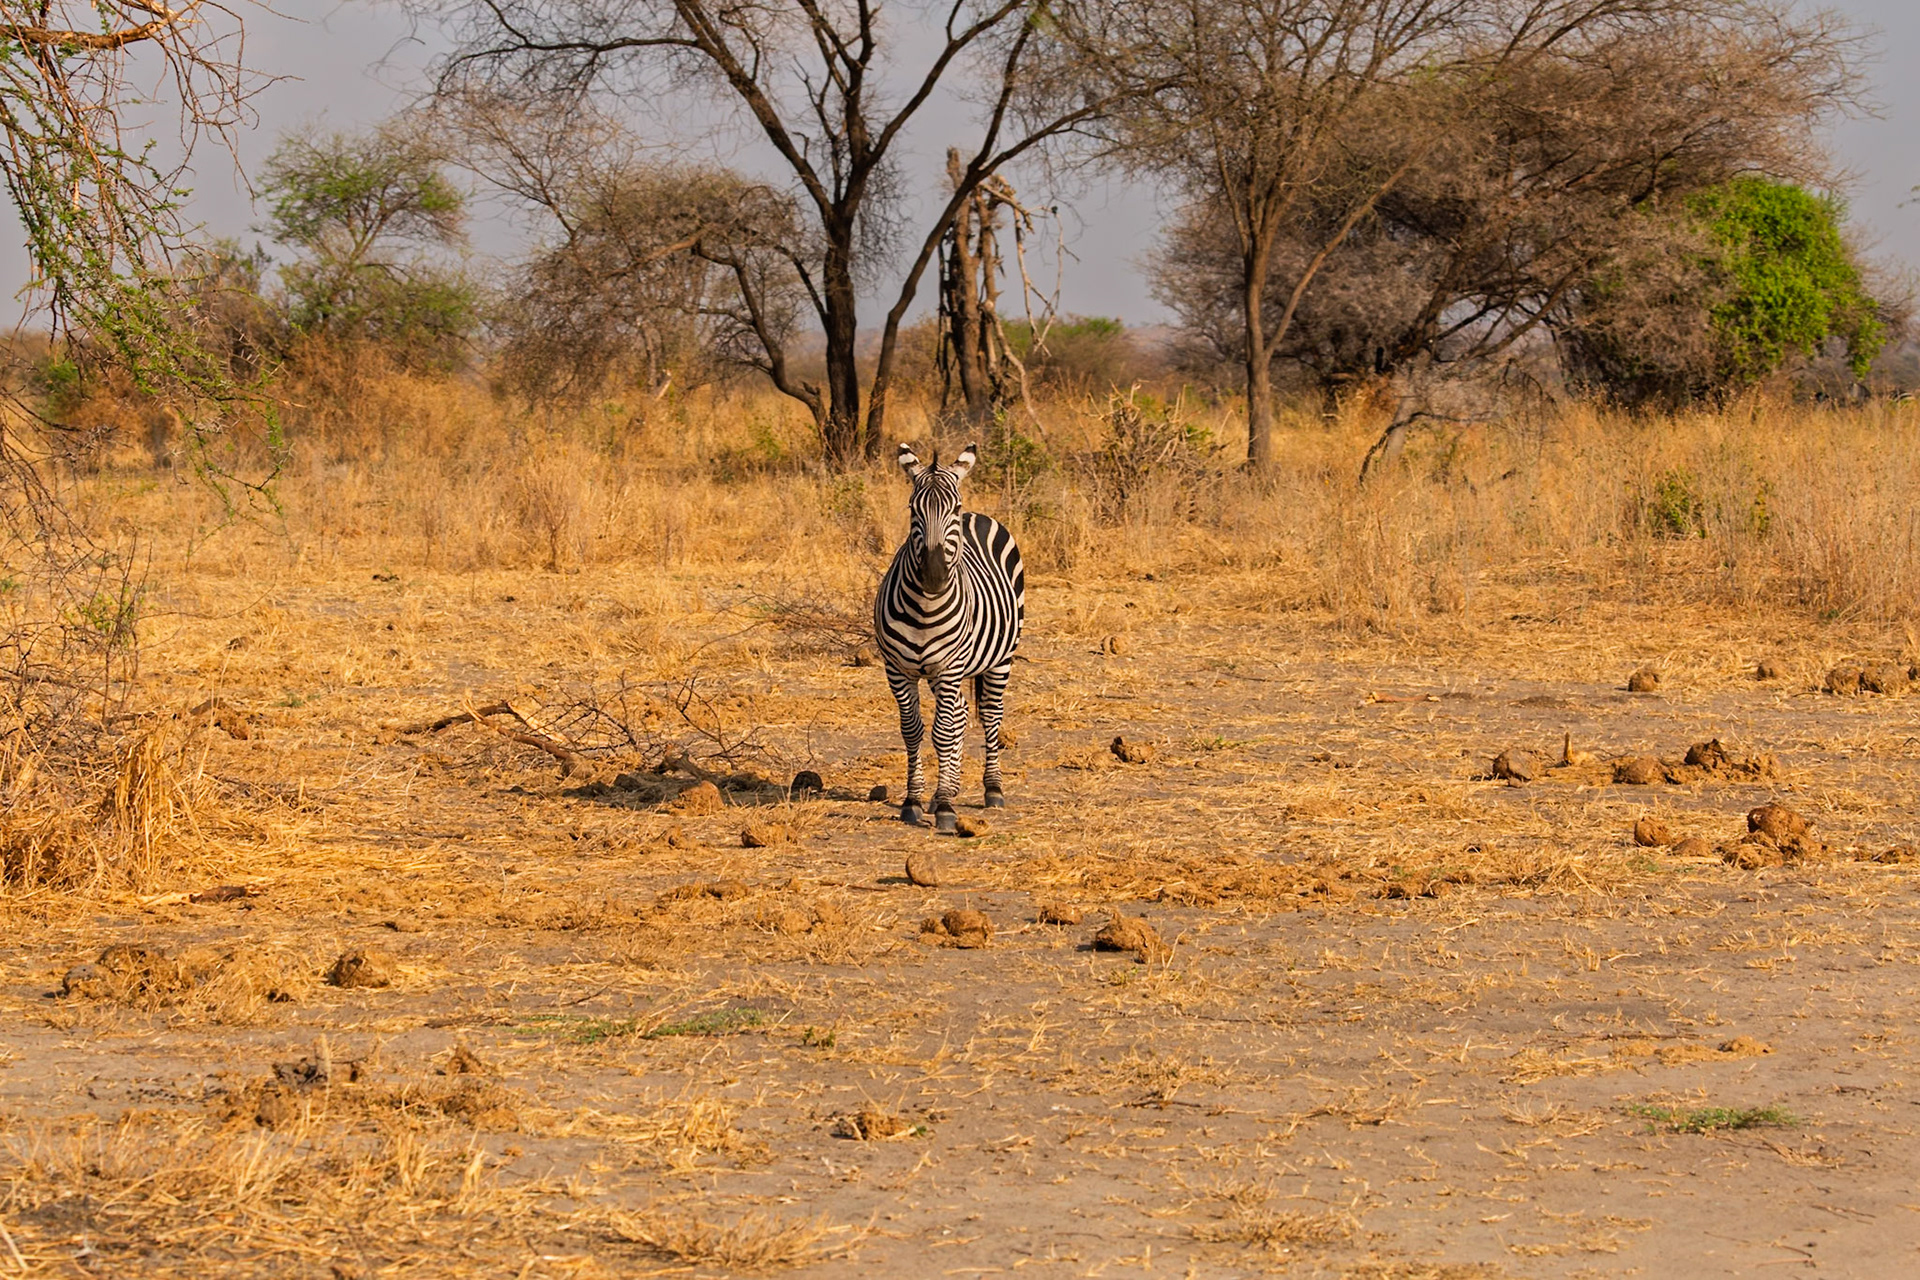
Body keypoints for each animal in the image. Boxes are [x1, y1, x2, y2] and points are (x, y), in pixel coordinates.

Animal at [874, 441, 1025, 832]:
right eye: (912, 509)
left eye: (953, 508)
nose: (934, 574)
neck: (924, 608)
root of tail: (978, 515)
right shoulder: (898, 670)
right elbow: (912, 730)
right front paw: (914, 801)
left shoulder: (950, 667)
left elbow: (942, 732)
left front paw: (943, 807)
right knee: (959, 711)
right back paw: (951, 787)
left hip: (1000, 659)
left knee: (990, 713)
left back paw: (992, 789)